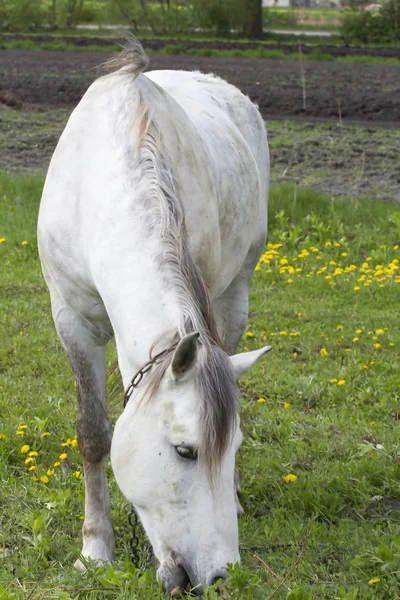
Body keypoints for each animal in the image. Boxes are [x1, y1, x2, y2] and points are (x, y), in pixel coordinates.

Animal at [37, 37, 270, 596]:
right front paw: (95, 549)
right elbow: (93, 433)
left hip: (236, 294)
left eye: (234, 447)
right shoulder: (71, 321)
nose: (219, 576)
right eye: (184, 451)